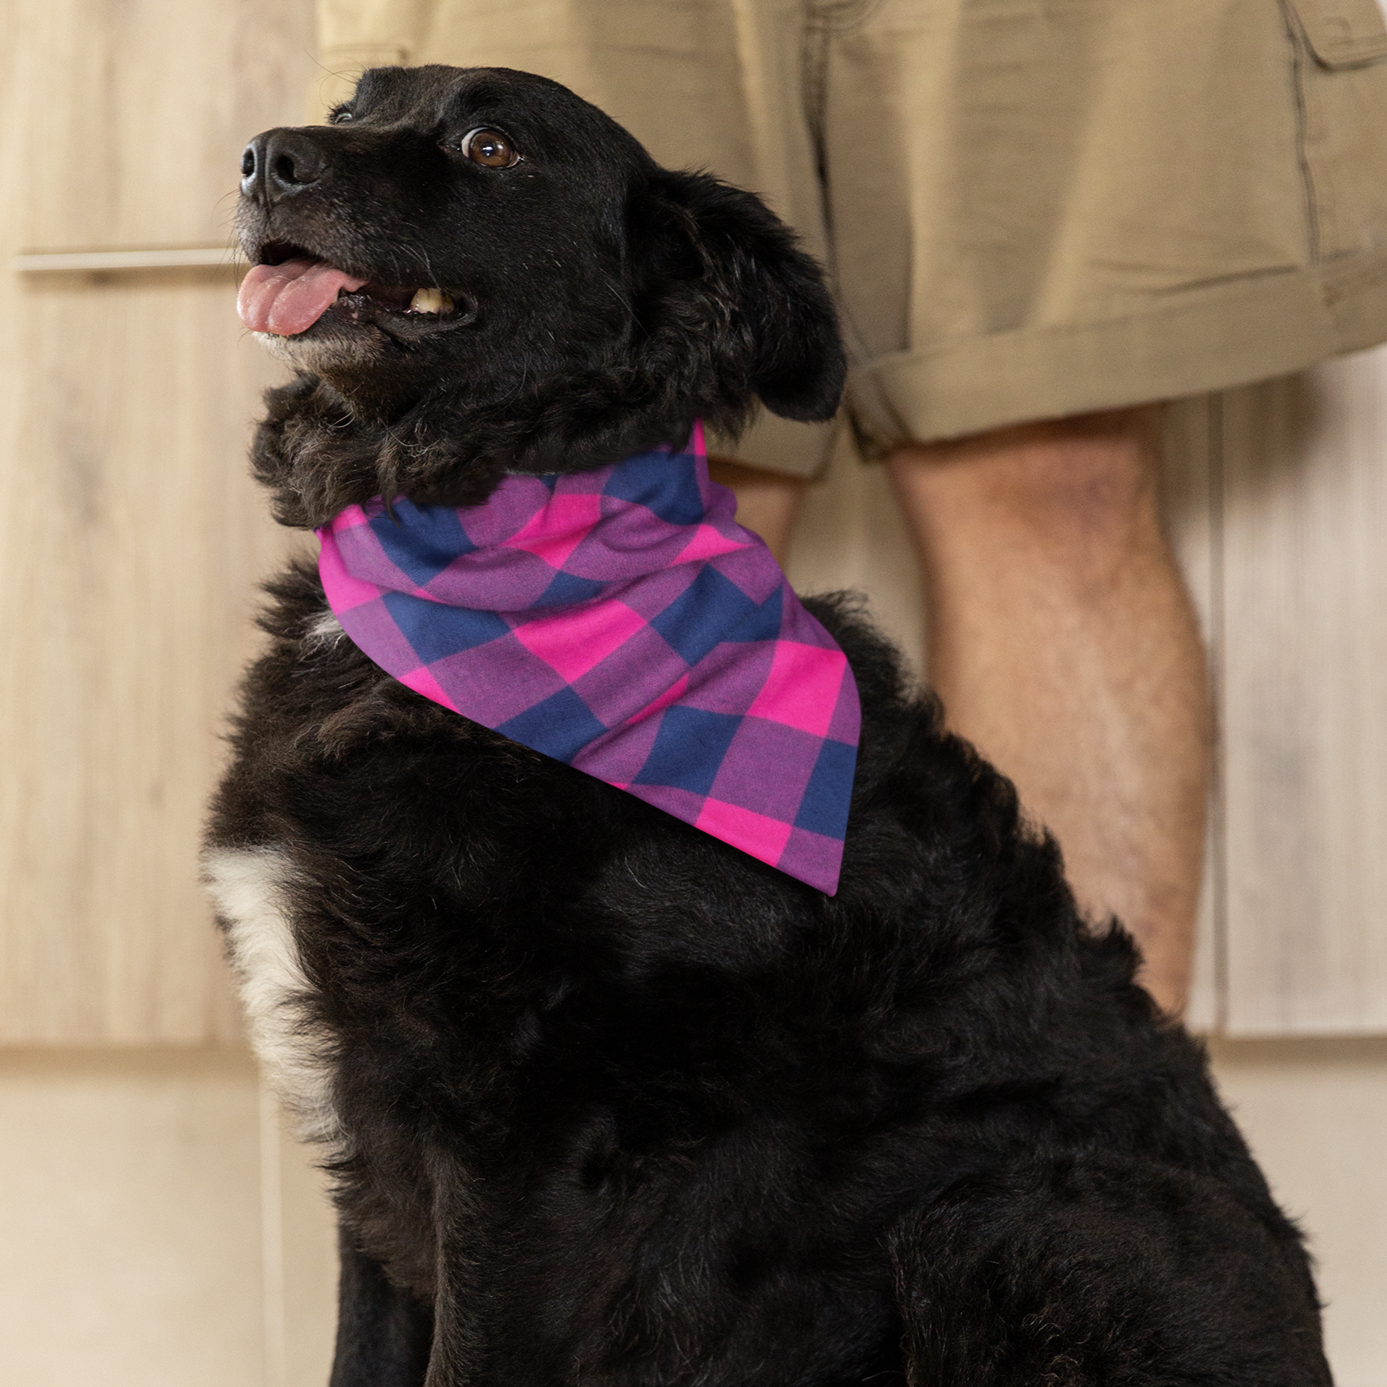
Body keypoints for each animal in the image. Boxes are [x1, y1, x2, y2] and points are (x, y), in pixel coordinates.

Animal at [208, 67, 1331, 1387]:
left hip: (1011, 1216)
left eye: (490, 146)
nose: (262, 157)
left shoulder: (520, 1145)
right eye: (354, 105)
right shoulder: (375, 1130)